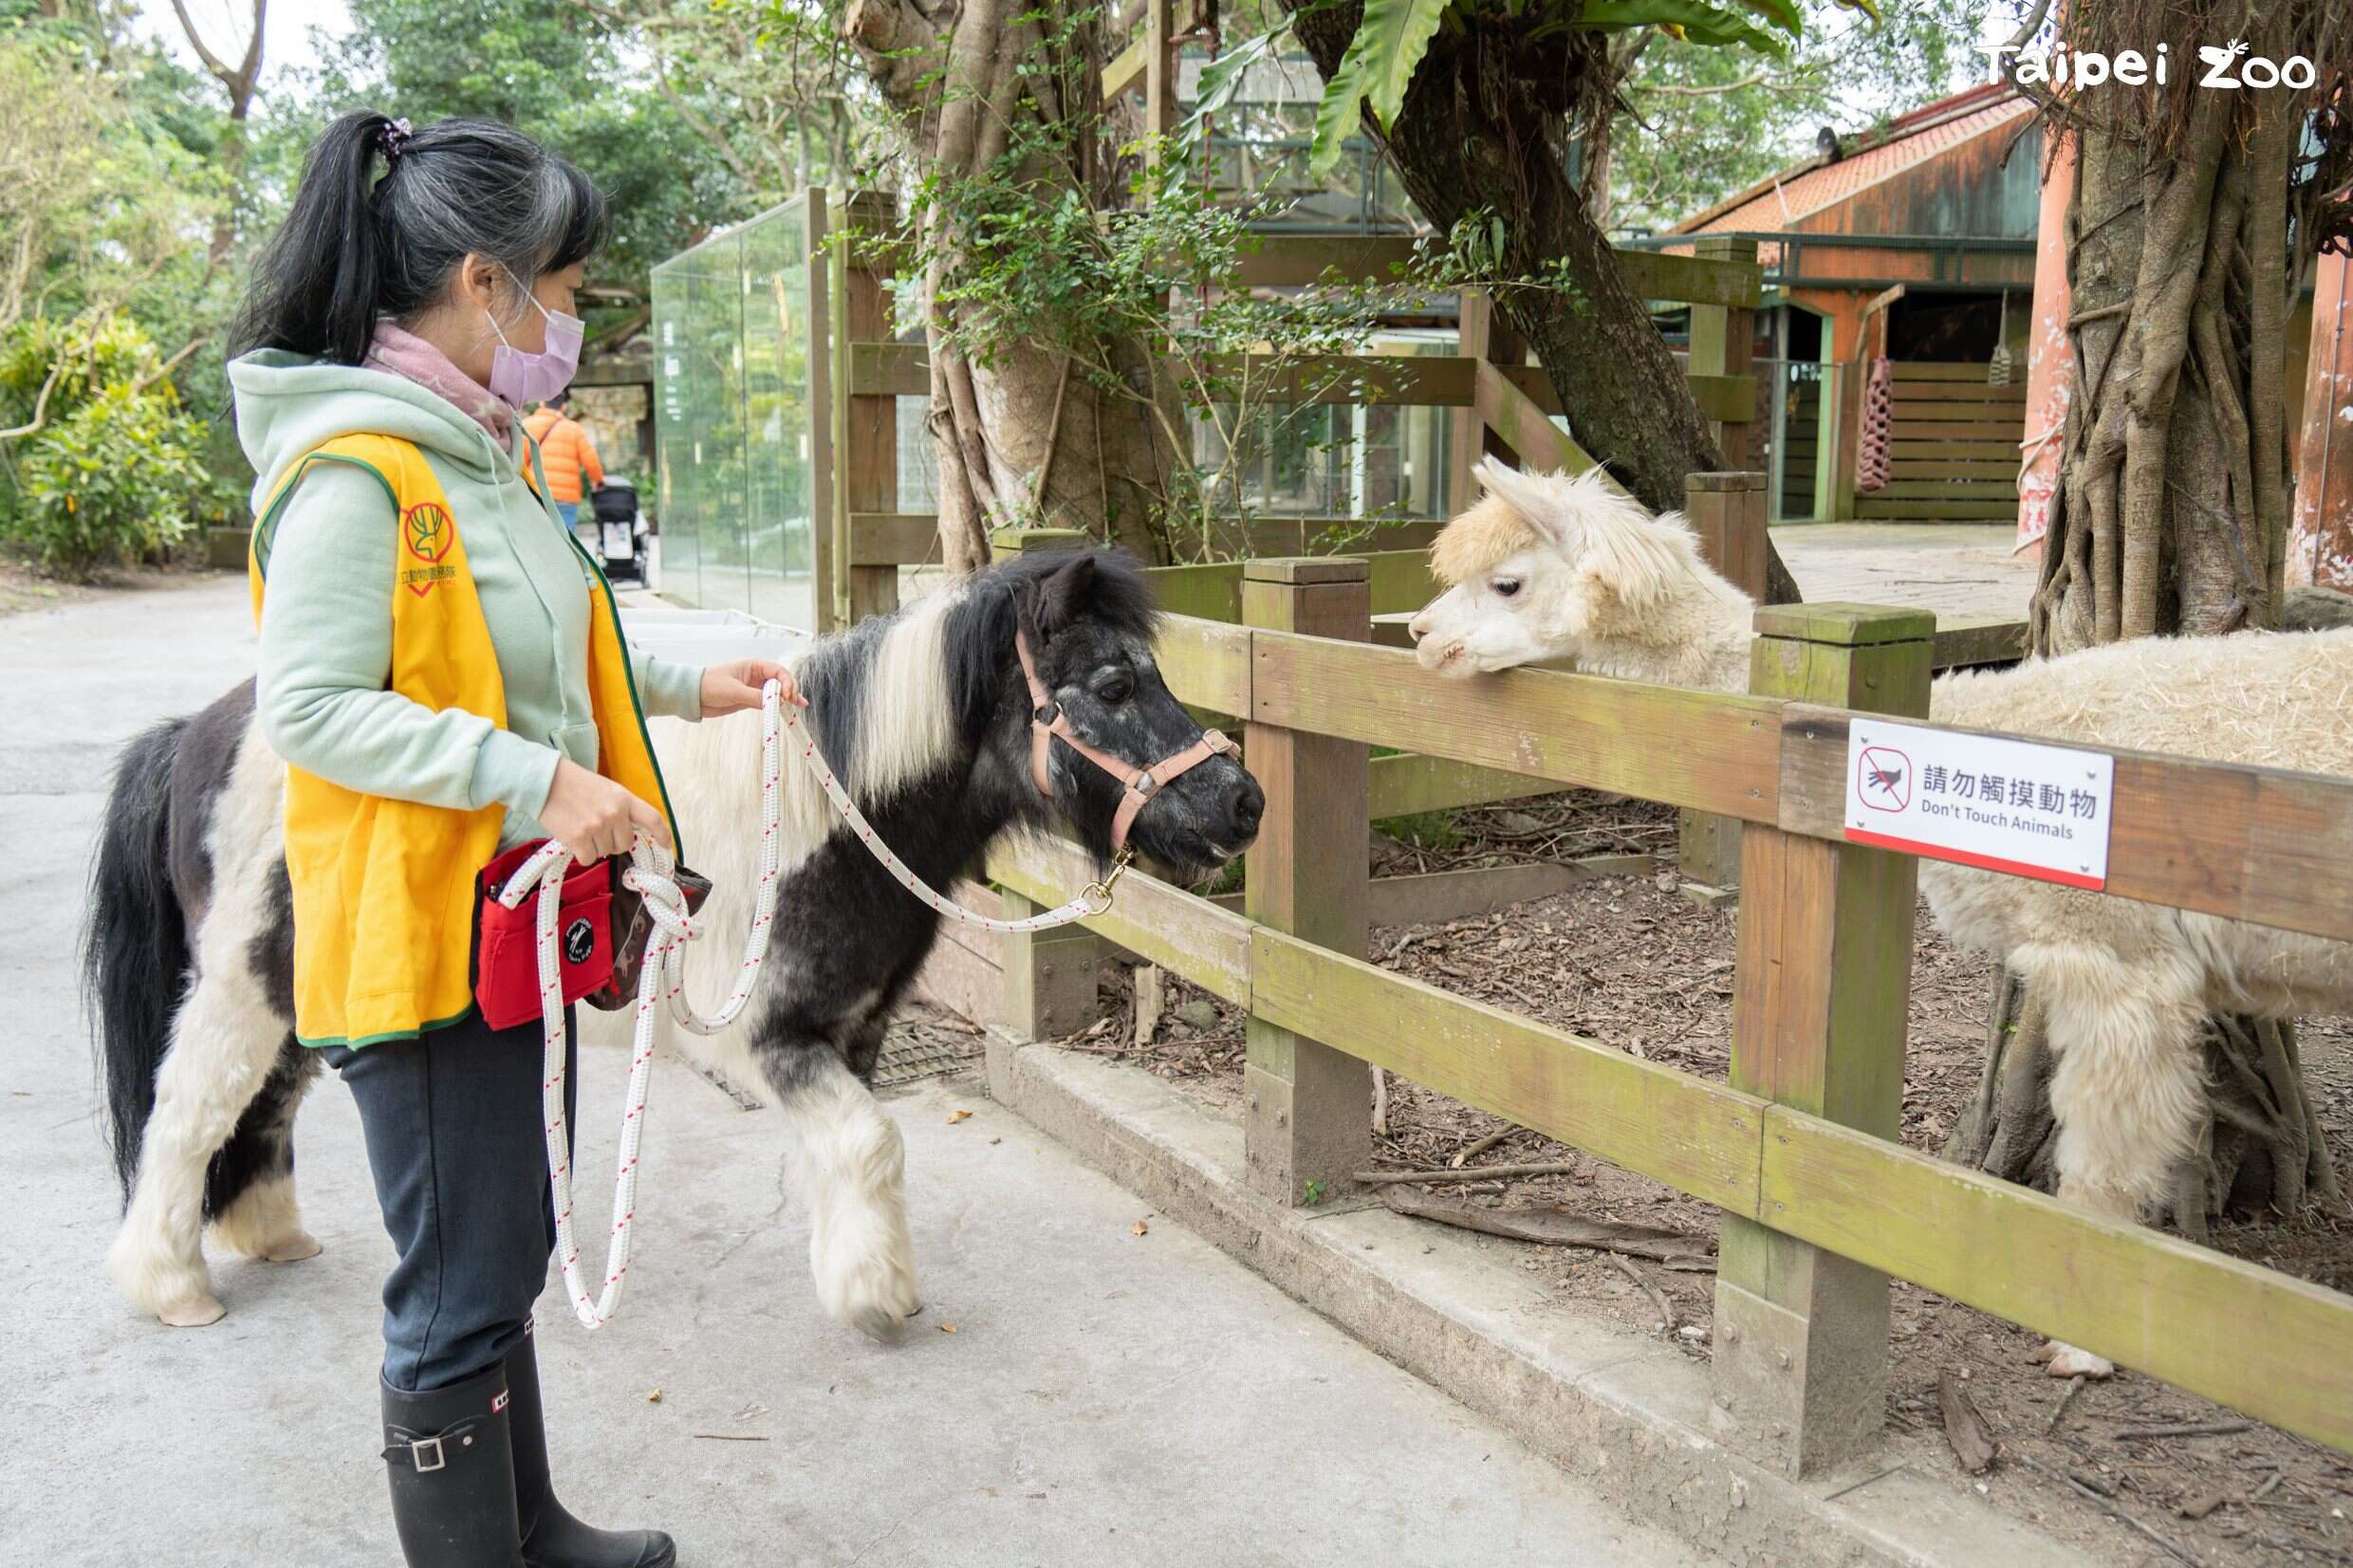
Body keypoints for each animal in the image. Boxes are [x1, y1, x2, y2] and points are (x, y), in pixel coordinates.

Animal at [88, 548, 1263, 1339]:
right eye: (1112, 687)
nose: (1240, 803)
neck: (822, 822)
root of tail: (198, 734)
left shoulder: (852, 1030)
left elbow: (850, 1151)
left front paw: (855, 1269)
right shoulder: (766, 1041)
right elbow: (870, 1144)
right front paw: (875, 1296)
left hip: (304, 995)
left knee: (264, 1107)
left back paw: (264, 1235)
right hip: (240, 987)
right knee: (187, 1113)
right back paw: (171, 1286)